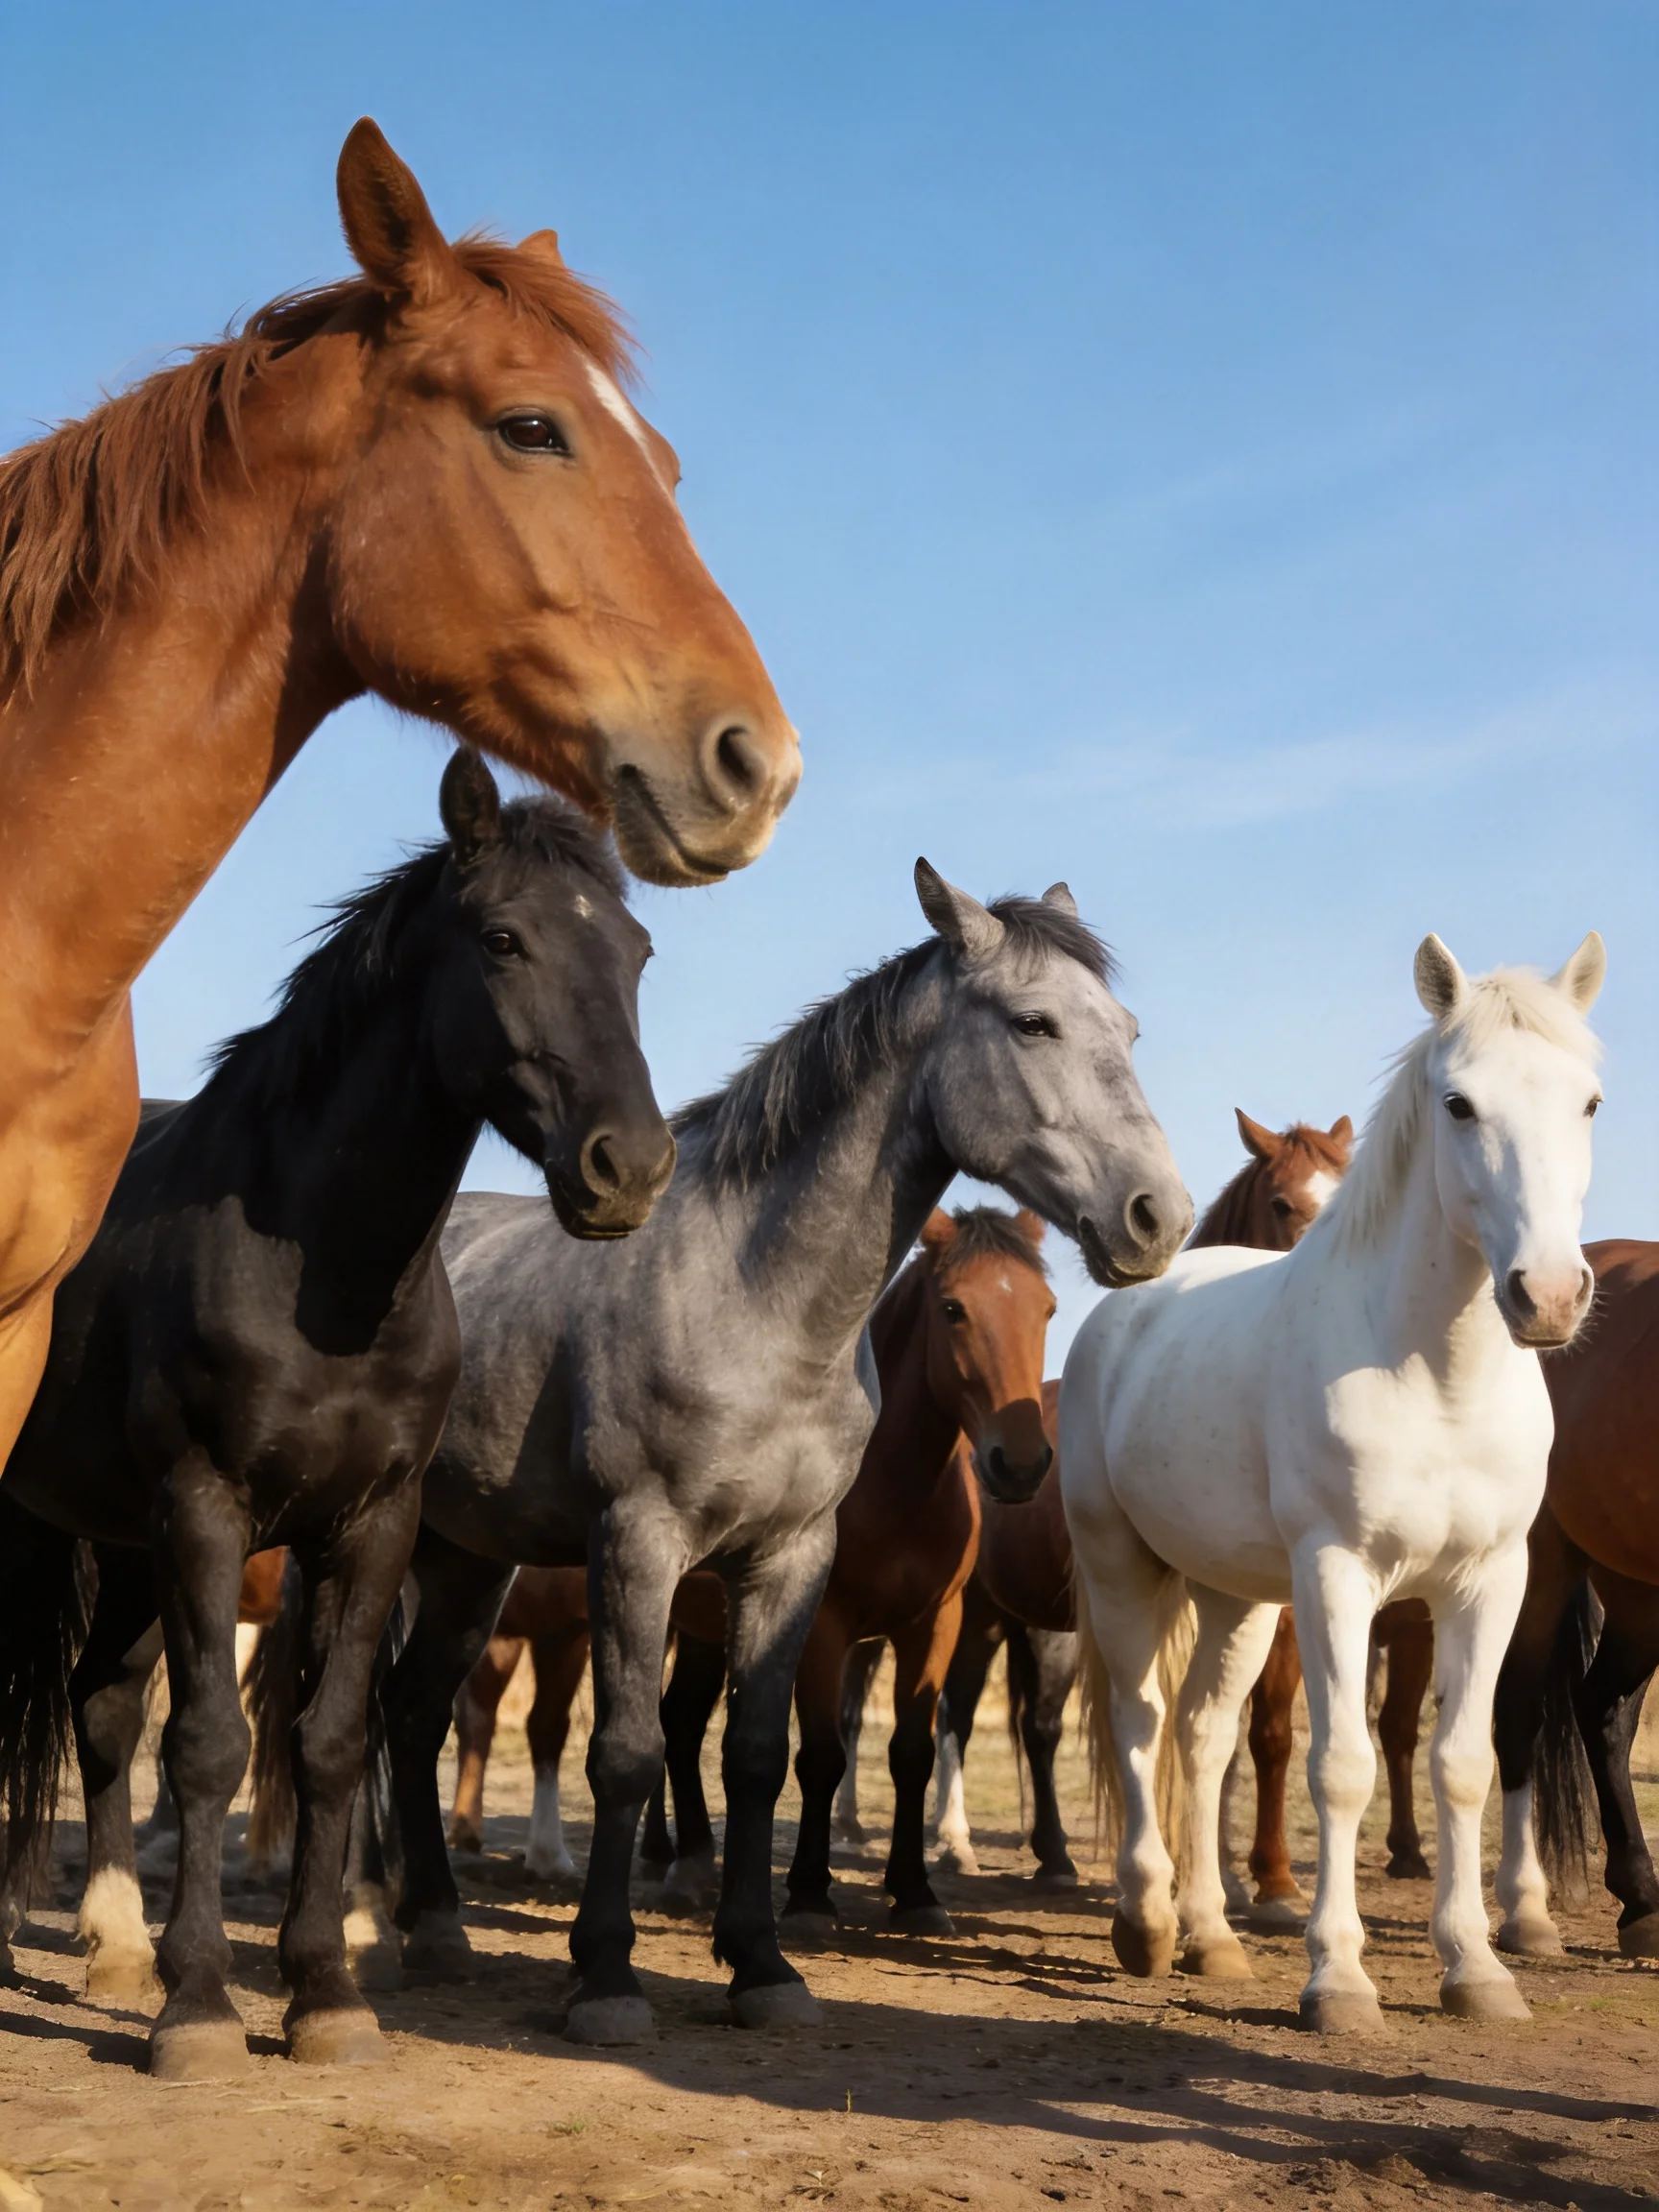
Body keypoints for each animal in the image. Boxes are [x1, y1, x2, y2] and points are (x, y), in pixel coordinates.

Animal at [0, 750, 672, 2079]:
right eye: (503, 938)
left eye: (636, 949)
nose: (629, 1166)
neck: (325, 1277)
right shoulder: (206, 1510)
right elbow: (209, 1745)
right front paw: (201, 2006)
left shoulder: (370, 1526)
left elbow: (326, 1741)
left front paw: (321, 1991)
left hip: (119, 1547)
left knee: (100, 1707)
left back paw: (112, 1944)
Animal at [374, 865, 1190, 2046]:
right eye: (1034, 1022)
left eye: (1127, 1031)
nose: (1157, 1216)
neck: (751, 1298)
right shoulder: (639, 1545)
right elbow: (627, 1753)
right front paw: (606, 1975)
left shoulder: (793, 1561)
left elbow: (760, 1756)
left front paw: (761, 1962)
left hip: (466, 1562)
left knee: (412, 1708)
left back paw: (432, 1921)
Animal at [924, 1112, 1354, 1887]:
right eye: (1282, 1203)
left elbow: (1259, 1732)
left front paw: (1260, 1879)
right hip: (981, 1615)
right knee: (959, 1714)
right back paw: (957, 1839)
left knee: (1032, 1725)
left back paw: (1051, 1853)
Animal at [1060, 933, 1605, 2032]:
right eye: (1459, 1104)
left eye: (1590, 1102)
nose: (1548, 1295)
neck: (1435, 1375)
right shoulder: (1339, 1577)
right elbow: (1342, 1766)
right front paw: (1339, 1980)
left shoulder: (1488, 1584)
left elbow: (1462, 1764)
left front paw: (1476, 1968)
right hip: (1122, 1567)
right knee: (1142, 1722)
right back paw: (1146, 1923)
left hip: (1238, 1598)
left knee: (1203, 1735)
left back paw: (1211, 1934)